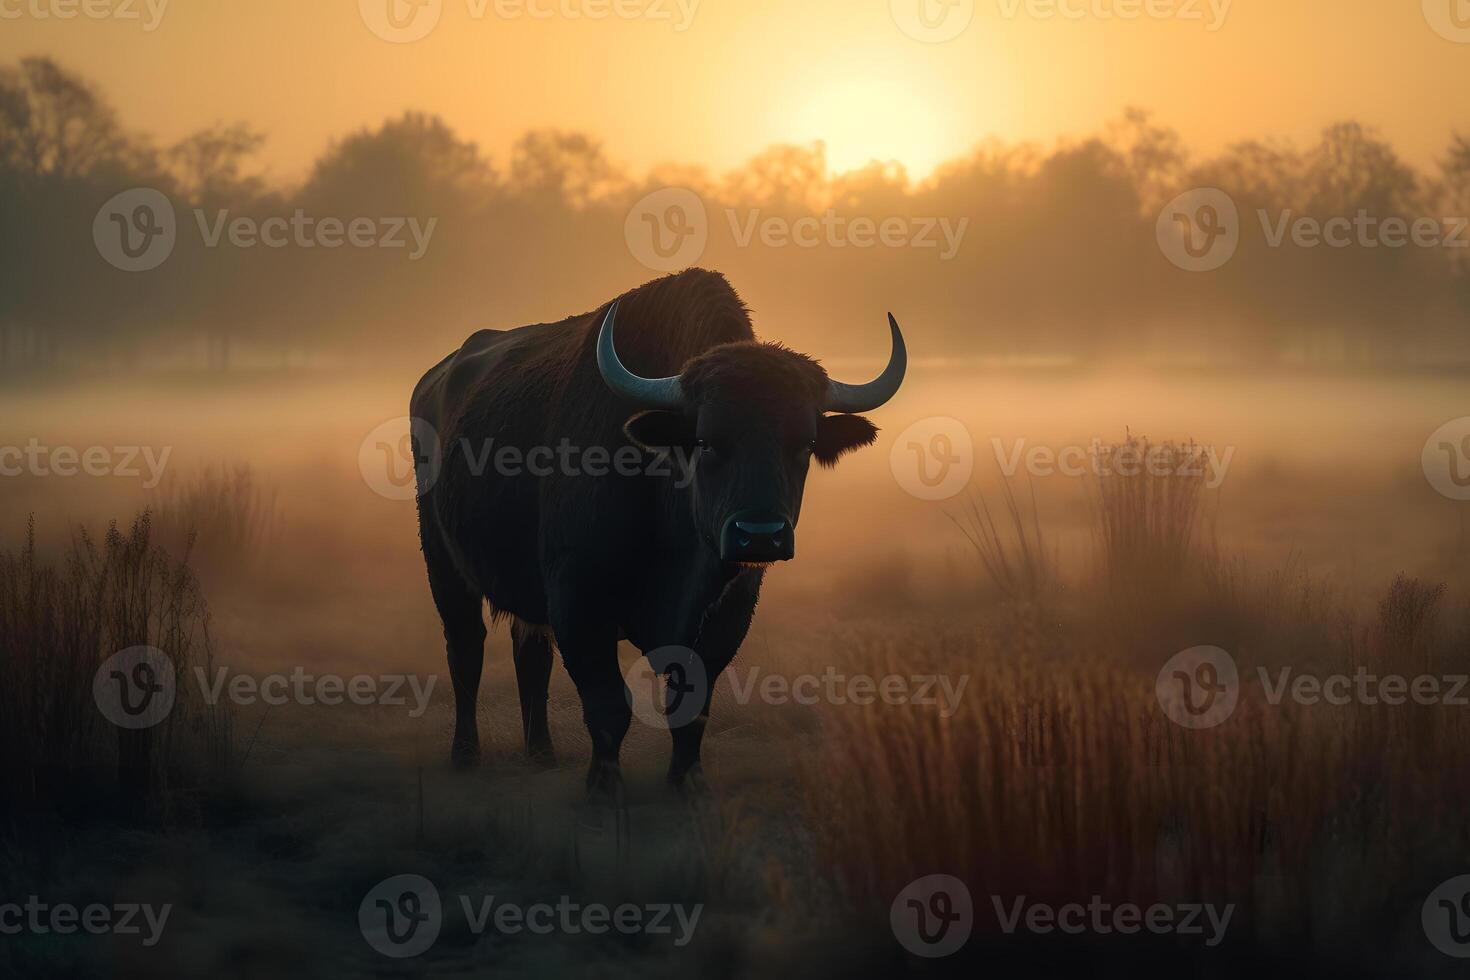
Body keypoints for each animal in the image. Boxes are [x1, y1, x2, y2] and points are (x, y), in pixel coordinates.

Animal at [408, 264, 899, 799]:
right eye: (706, 441)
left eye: (805, 444)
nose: (760, 536)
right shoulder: (578, 600)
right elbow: (607, 705)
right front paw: (603, 787)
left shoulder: (729, 609)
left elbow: (692, 707)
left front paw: (687, 783)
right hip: (442, 563)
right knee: (466, 649)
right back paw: (465, 755)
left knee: (530, 655)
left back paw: (541, 754)